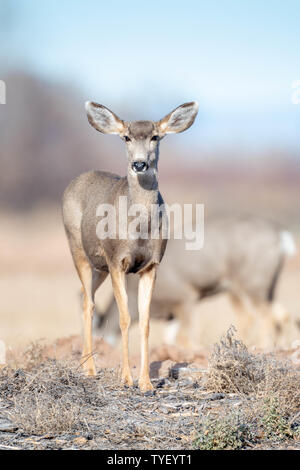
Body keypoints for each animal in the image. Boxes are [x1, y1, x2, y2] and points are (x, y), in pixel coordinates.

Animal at [62, 99, 199, 390]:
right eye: (126, 137)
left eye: (155, 136)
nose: (139, 164)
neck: (139, 229)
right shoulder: (117, 261)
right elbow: (125, 317)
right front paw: (126, 378)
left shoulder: (151, 265)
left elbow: (145, 321)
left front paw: (146, 382)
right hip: (78, 250)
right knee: (88, 304)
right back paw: (90, 369)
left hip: (99, 267)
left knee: (85, 297)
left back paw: (86, 364)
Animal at [95, 215, 296, 346]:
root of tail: (281, 237)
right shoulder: (172, 313)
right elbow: (170, 339)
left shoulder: (185, 298)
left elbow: (186, 336)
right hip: (261, 288)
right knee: (277, 314)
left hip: (250, 286)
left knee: (264, 316)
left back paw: (263, 347)